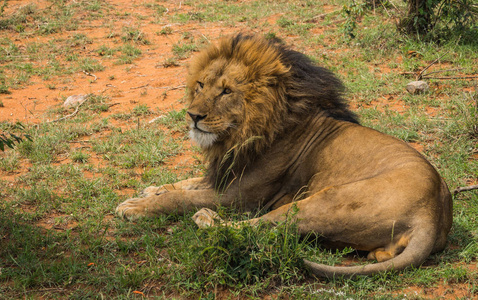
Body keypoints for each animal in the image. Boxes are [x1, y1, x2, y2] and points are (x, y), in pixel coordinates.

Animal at [116, 34, 452, 278]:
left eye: (226, 91)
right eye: (200, 85)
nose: (193, 116)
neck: (241, 135)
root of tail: (431, 213)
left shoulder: (237, 196)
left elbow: (181, 198)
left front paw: (135, 207)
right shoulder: (224, 172)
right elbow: (185, 183)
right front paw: (149, 191)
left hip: (322, 201)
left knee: (258, 228)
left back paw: (207, 219)